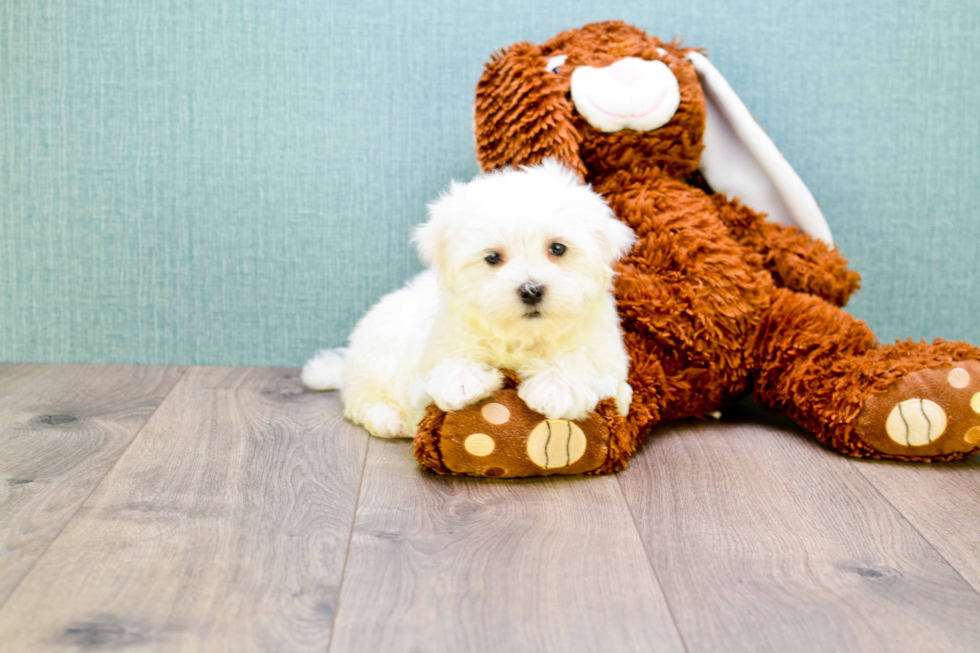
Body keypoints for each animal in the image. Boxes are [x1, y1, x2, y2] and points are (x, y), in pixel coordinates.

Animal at [300, 160, 636, 438]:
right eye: (493, 257)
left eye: (557, 248)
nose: (531, 290)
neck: (523, 337)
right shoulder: (430, 358)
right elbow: (444, 366)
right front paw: (464, 380)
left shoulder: (610, 364)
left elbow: (583, 362)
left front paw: (555, 387)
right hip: (375, 358)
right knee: (361, 400)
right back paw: (389, 418)